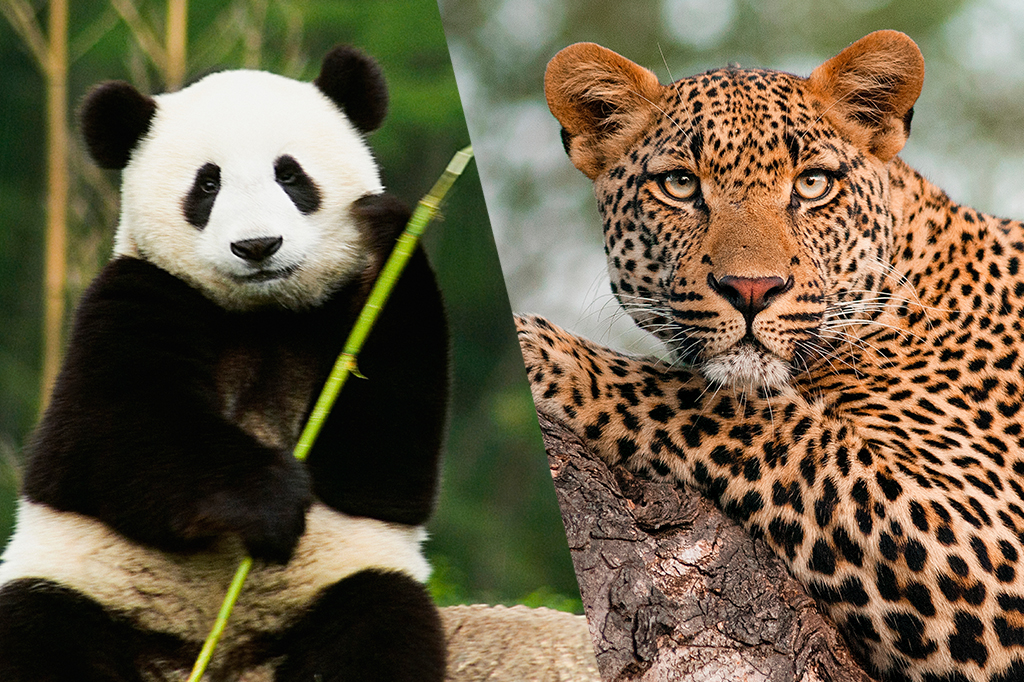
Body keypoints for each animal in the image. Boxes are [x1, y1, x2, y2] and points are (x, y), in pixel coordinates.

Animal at [0, 46, 448, 682]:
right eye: (207, 184)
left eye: (290, 175)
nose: (257, 247)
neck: (259, 315)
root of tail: (218, 662)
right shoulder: (137, 293)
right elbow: (111, 435)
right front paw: (270, 499)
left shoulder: (348, 317)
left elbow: (384, 466)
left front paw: (387, 231)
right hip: (84, 587)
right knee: (39, 632)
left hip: (336, 586)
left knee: (380, 622)